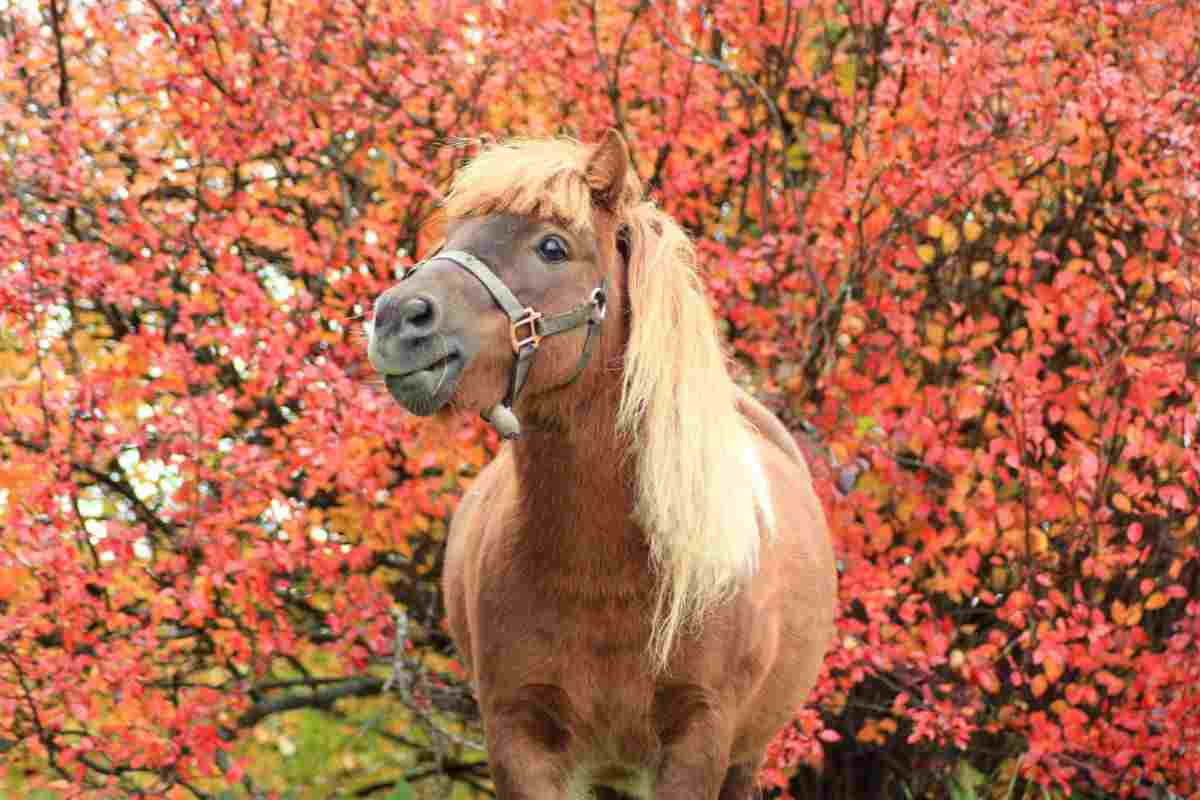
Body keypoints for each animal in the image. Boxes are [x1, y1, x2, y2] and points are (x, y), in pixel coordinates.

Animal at [366, 130, 836, 799]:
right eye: (451, 233)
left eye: (552, 246)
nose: (397, 319)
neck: (607, 572)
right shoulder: (520, 736)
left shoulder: (700, 738)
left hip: (746, 757)